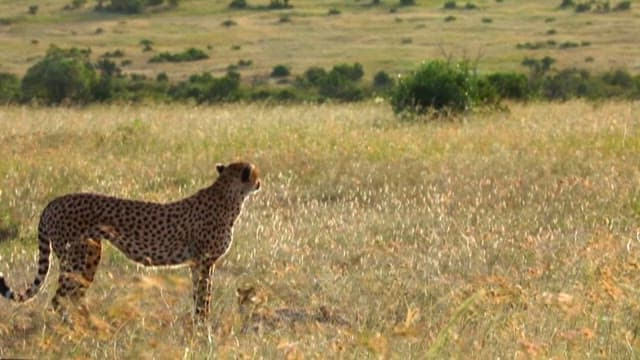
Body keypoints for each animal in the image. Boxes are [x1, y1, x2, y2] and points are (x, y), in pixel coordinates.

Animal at [0, 162, 260, 320]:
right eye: (255, 174)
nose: (259, 183)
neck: (228, 194)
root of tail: (53, 202)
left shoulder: (197, 263)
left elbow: (198, 294)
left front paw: (197, 325)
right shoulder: (206, 261)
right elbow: (205, 296)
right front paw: (204, 328)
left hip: (87, 255)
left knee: (72, 296)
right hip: (78, 257)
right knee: (60, 298)